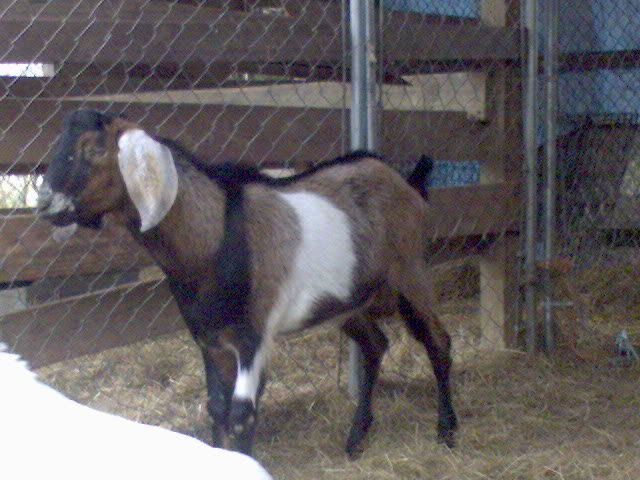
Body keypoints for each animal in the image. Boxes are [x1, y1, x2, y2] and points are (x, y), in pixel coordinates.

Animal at [36, 109, 457, 457]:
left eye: (93, 149)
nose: (44, 204)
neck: (213, 236)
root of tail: (408, 183)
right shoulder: (209, 338)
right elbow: (216, 408)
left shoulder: (252, 335)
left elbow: (242, 415)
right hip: (347, 300)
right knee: (375, 345)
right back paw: (356, 439)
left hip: (409, 272)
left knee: (438, 340)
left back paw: (447, 432)